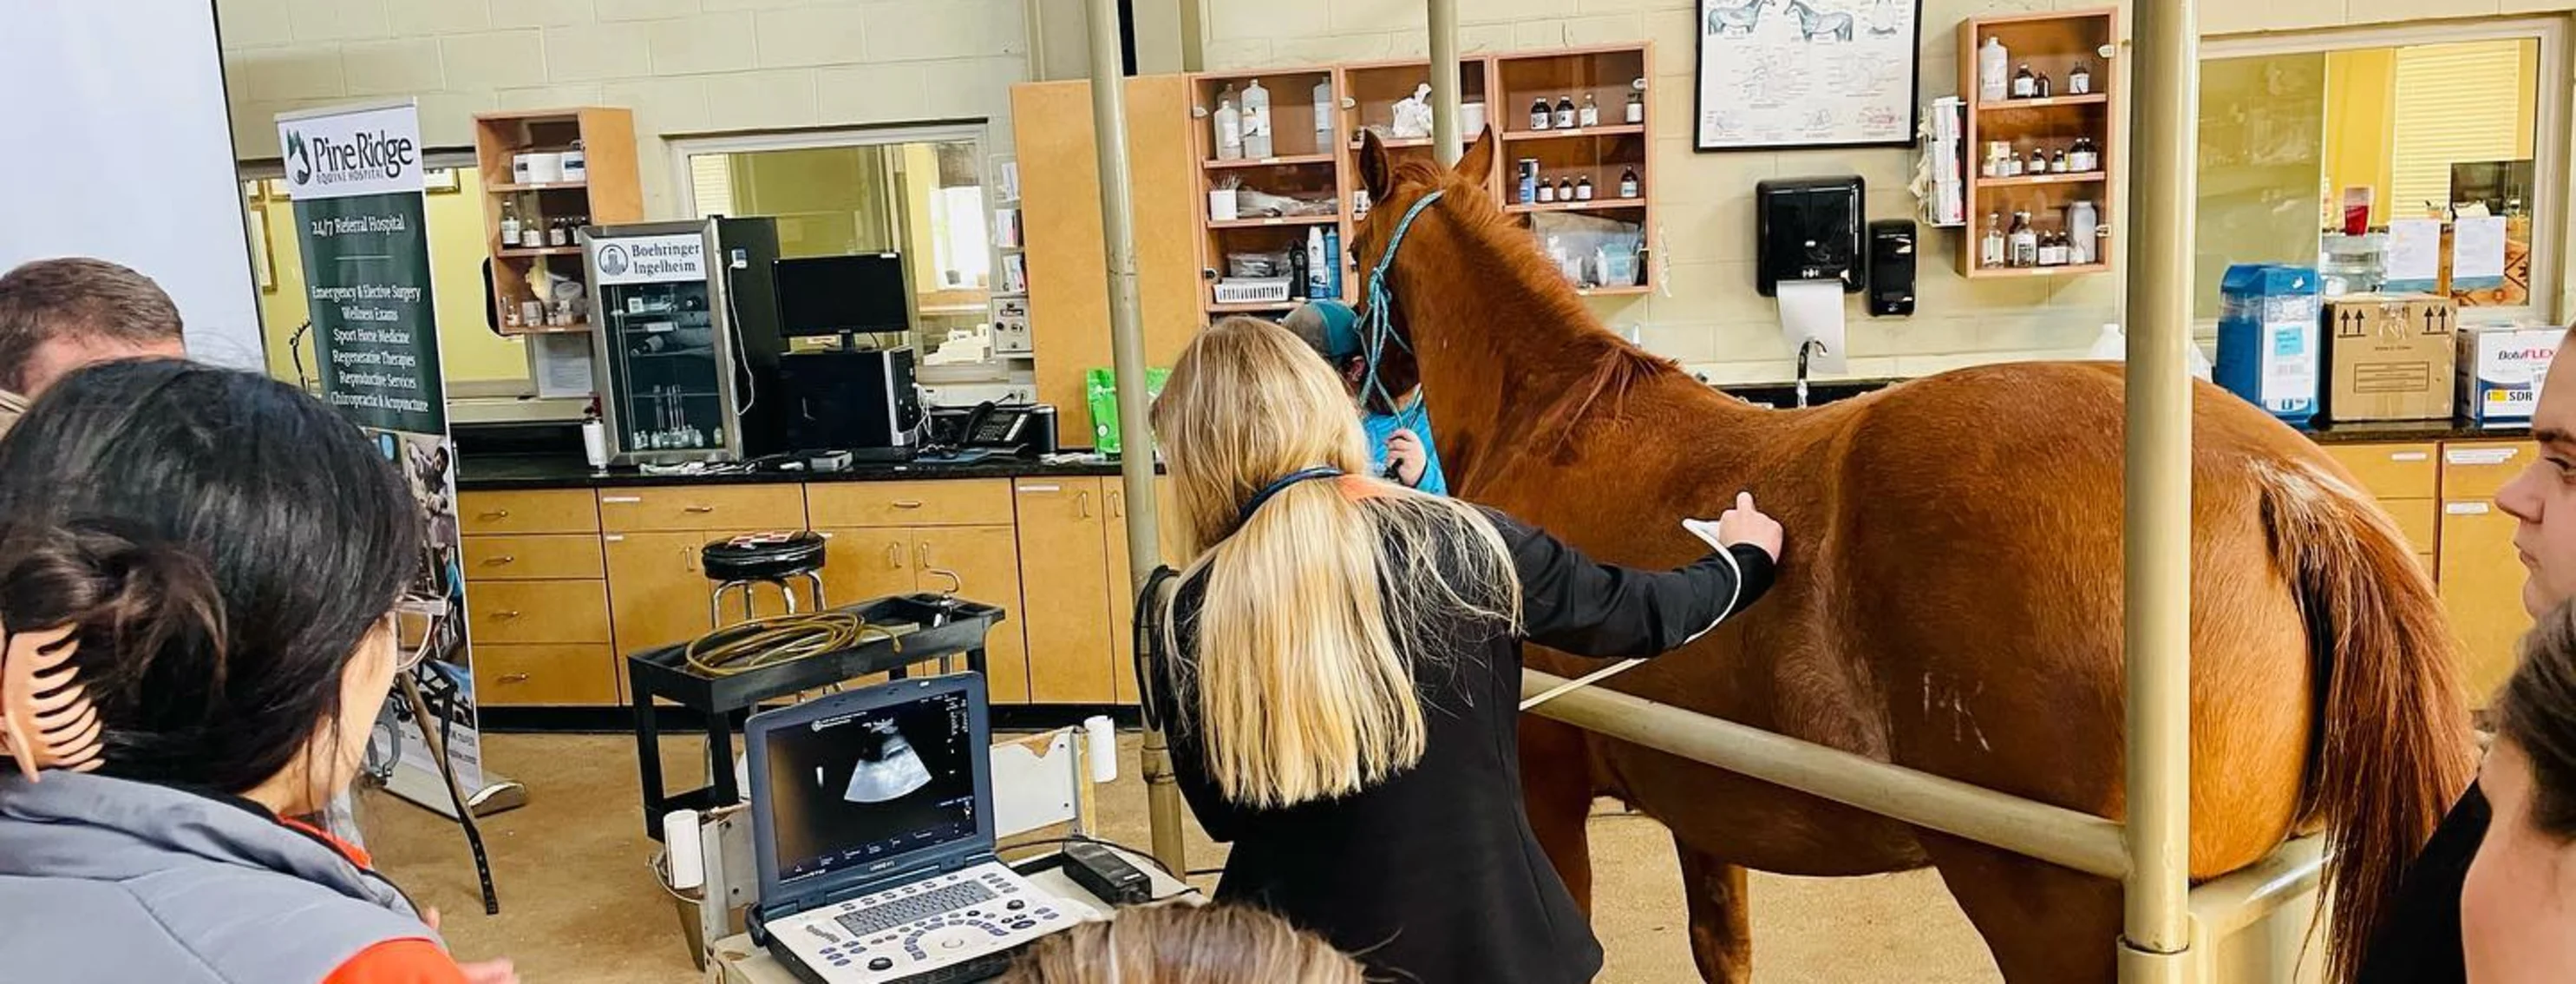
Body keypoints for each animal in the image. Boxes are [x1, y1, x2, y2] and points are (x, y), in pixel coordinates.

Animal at [1350, 132, 2473, 984]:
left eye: (1352, 245)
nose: (1369, 384)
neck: (1556, 421)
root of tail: (2286, 488)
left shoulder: (1549, 793)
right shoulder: (1702, 803)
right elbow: (1723, 948)